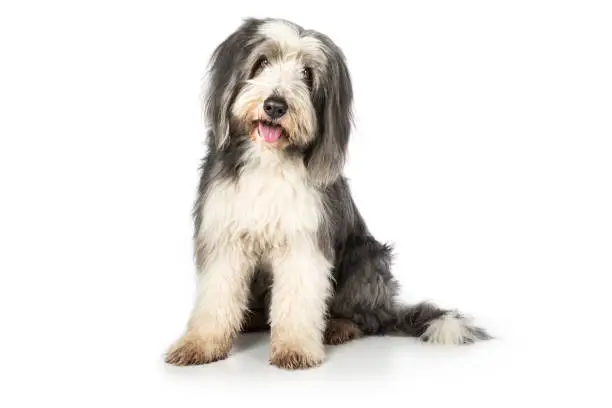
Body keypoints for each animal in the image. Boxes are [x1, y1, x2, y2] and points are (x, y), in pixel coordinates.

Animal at [165, 17, 490, 370]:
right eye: (262, 62)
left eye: (307, 74)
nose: (275, 106)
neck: (269, 160)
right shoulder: (224, 234)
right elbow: (217, 294)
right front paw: (201, 344)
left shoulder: (304, 239)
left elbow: (299, 296)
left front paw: (295, 348)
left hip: (367, 260)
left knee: (367, 319)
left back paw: (338, 326)